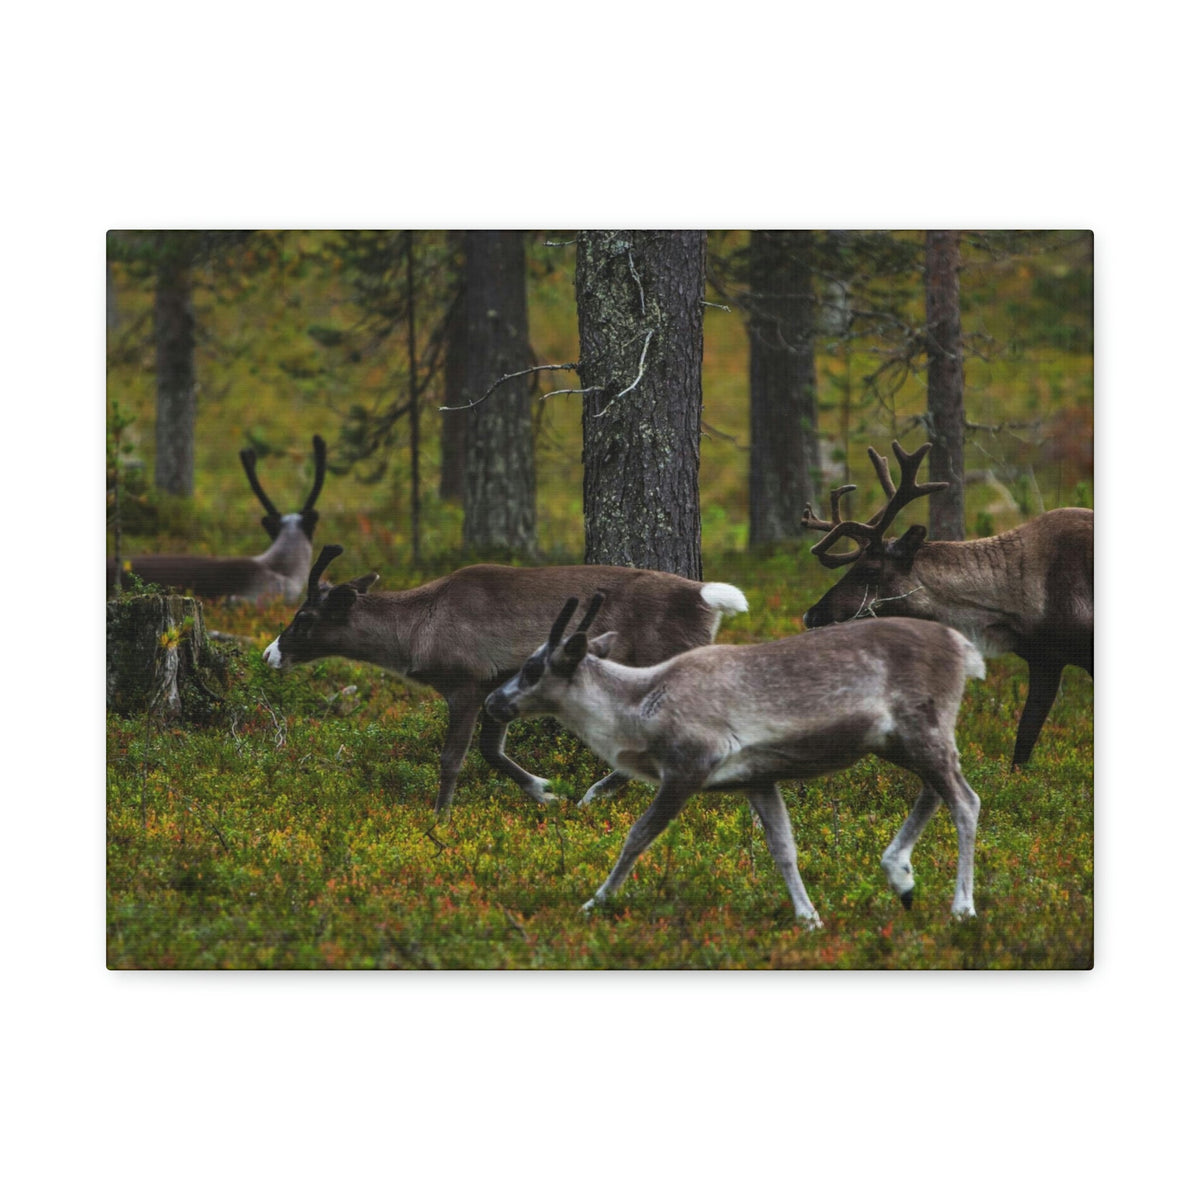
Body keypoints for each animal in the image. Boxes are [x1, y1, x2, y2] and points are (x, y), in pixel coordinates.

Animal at [262, 544, 750, 814]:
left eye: (304, 617)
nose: (269, 654)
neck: (416, 631)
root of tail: (705, 596)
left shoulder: (465, 683)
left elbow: (453, 758)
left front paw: (439, 819)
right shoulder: (495, 687)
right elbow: (491, 751)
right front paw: (544, 793)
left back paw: (596, 793)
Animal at [484, 593, 985, 927]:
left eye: (531, 668)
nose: (493, 701)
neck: (638, 707)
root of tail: (964, 647)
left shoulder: (687, 768)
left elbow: (637, 837)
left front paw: (595, 902)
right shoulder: (757, 779)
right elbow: (783, 848)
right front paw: (808, 917)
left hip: (922, 729)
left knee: (965, 800)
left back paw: (962, 907)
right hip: (899, 741)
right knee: (935, 790)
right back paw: (900, 875)